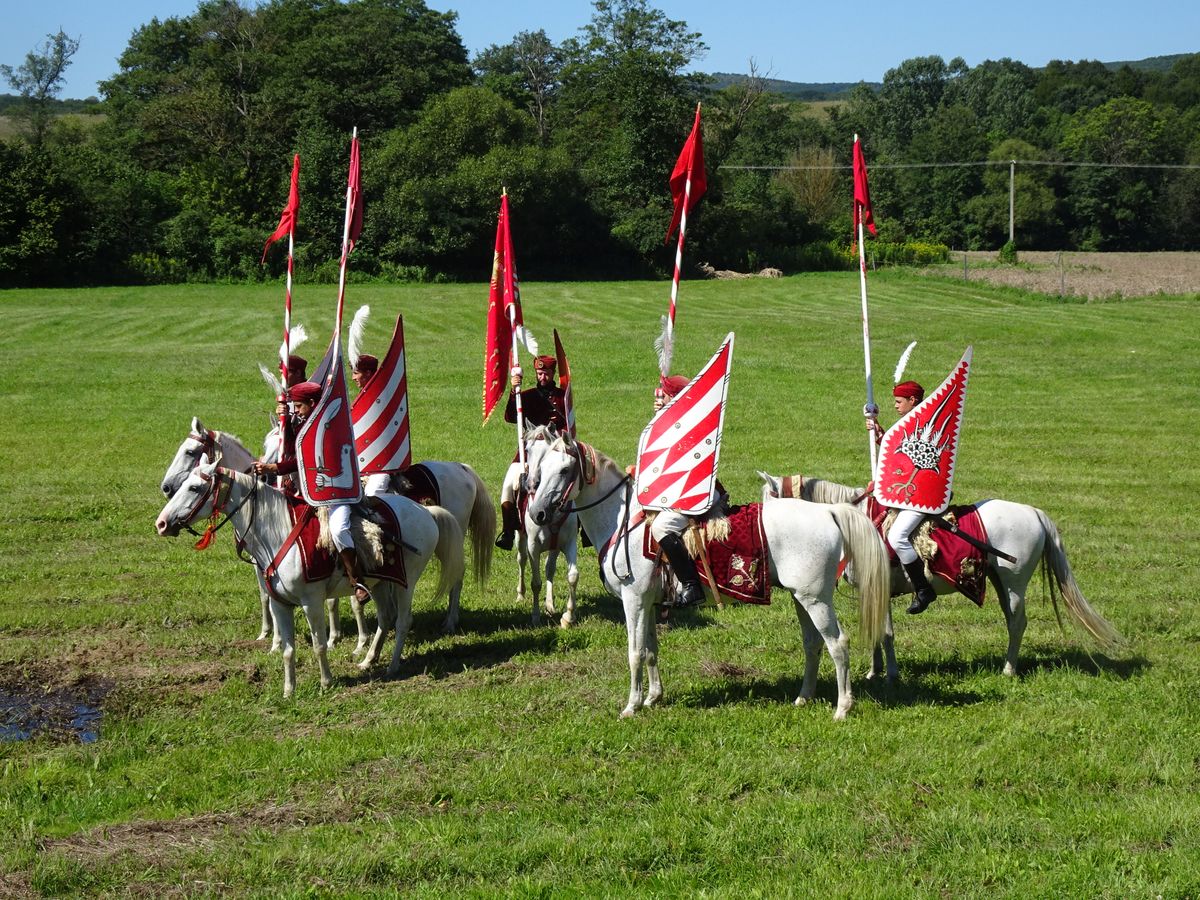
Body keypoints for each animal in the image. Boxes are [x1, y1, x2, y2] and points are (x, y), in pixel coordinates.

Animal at [154, 458, 463, 696]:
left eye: (195, 487)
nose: (161, 524)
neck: (278, 533)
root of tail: (426, 511)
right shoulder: (280, 604)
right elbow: (288, 650)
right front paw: (289, 690)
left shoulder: (311, 601)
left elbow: (318, 644)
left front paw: (326, 682)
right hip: (379, 583)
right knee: (385, 617)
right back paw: (368, 660)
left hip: (406, 583)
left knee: (401, 621)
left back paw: (392, 665)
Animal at [162, 422, 494, 648]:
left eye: (190, 452)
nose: (166, 488)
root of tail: (462, 468)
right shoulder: (265, 561)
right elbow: (267, 595)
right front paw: (271, 637)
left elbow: (343, 598)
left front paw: (348, 638)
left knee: (456, 576)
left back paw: (449, 621)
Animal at [523, 434, 892, 724]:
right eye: (541, 467)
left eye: (565, 470)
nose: (537, 513)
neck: (623, 522)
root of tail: (827, 511)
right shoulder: (649, 603)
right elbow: (651, 650)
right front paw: (653, 698)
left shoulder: (634, 600)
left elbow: (635, 652)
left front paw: (631, 706)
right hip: (801, 598)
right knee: (813, 643)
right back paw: (804, 697)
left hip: (816, 600)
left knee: (838, 644)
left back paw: (842, 708)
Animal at [758, 475, 1123, 681]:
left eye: (769, 498)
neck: (856, 521)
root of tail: (1034, 512)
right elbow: (882, 633)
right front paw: (877, 671)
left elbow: (884, 633)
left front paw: (889, 674)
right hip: (999, 581)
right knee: (1012, 621)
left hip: (1014, 583)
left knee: (1018, 623)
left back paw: (1008, 670)